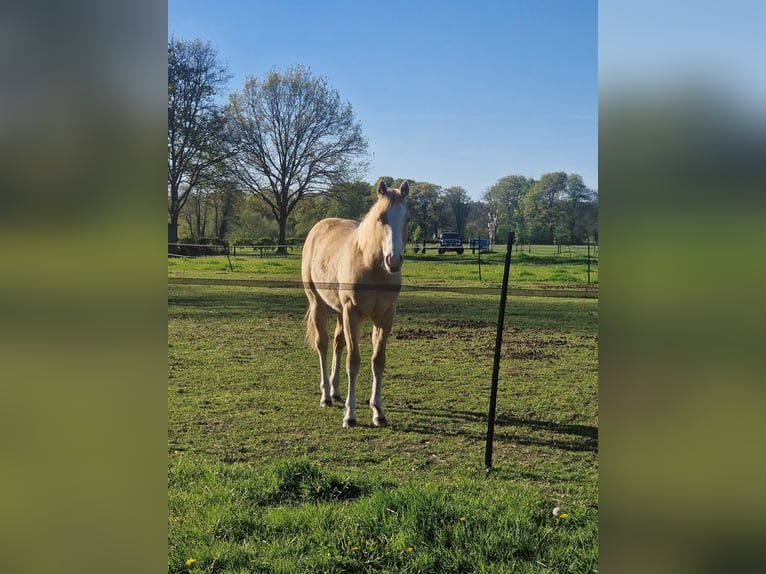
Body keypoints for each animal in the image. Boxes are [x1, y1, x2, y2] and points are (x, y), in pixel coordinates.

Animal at [302, 180, 410, 428]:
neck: (372, 268)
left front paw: (378, 411)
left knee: (337, 344)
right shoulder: (353, 313)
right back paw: (325, 395)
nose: (393, 261)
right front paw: (350, 416)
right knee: (323, 345)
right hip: (318, 304)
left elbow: (377, 361)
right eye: (381, 217)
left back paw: (335, 391)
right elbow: (354, 361)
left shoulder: (385, 317)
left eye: (407, 219)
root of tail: (319, 227)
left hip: (339, 311)